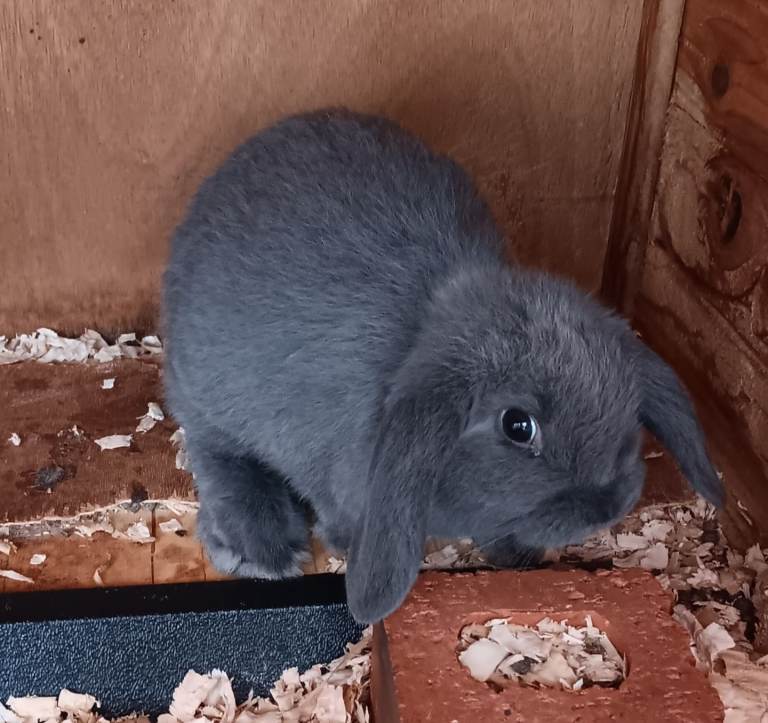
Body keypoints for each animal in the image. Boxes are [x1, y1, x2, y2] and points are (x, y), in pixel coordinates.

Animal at [162, 108, 724, 625]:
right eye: (518, 426)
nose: (612, 504)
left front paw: (518, 556)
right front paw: (340, 543)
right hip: (204, 392)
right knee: (216, 452)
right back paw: (261, 548)